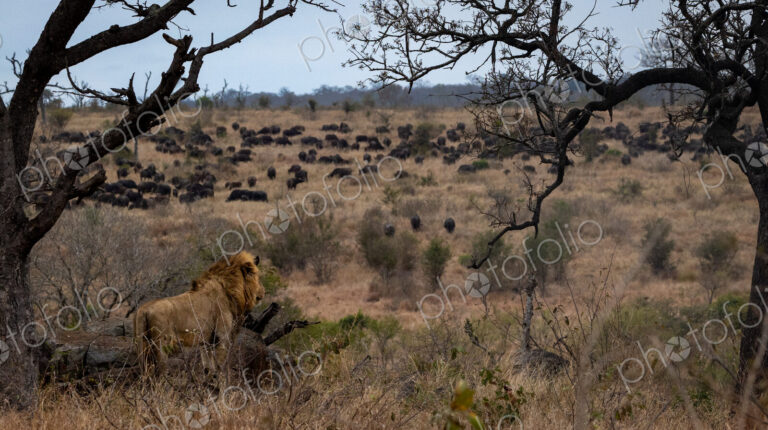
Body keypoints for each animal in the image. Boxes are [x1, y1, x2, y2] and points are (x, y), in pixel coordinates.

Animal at [134, 251, 264, 375]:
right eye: (257, 276)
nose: (263, 292)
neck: (230, 290)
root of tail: (144, 309)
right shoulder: (222, 337)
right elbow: (219, 368)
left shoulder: (206, 342)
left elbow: (209, 369)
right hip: (161, 345)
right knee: (160, 373)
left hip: (142, 346)